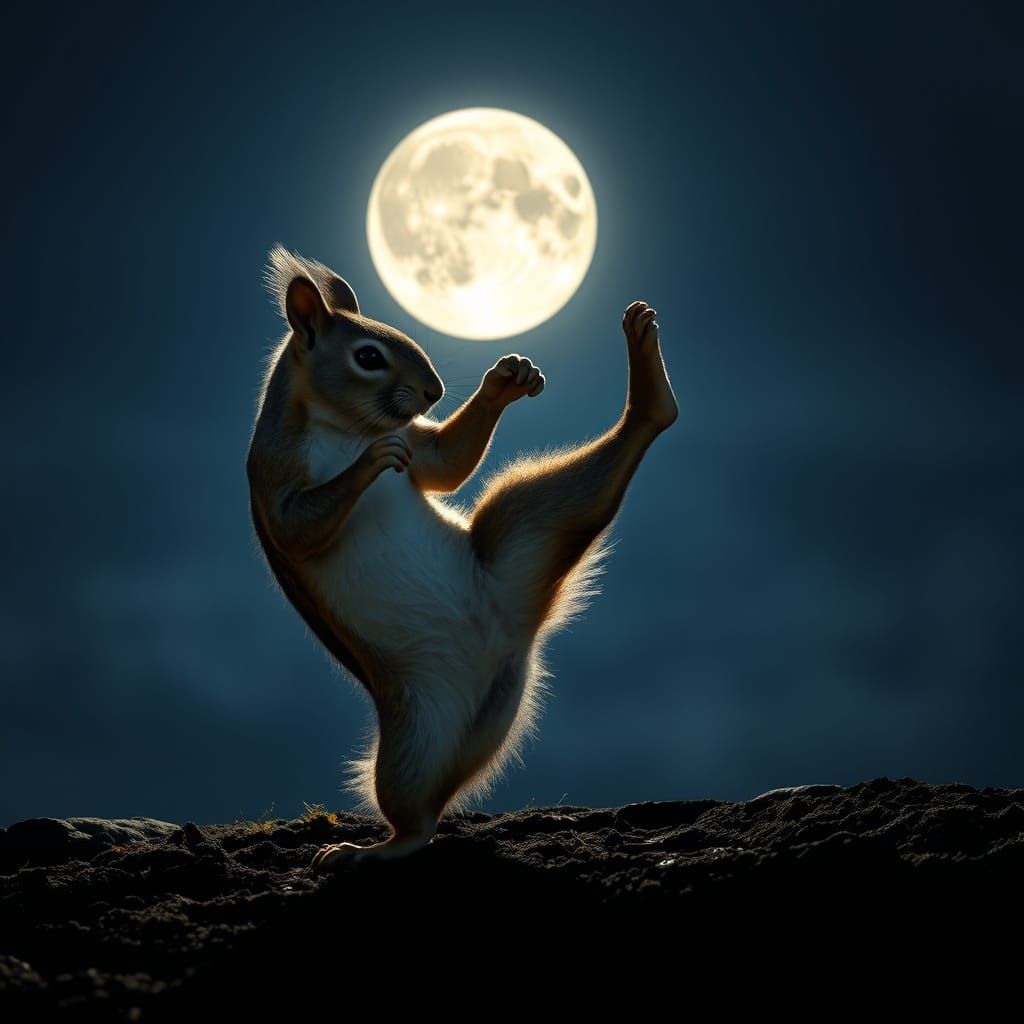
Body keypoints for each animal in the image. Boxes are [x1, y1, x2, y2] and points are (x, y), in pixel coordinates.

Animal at [246, 247, 678, 870]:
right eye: (368, 356)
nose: (433, 391)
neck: (342, 429)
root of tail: (509, 647)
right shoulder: (272, 481)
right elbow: (299, 529)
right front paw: (371, 461)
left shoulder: (420, 446)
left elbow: (448, 465)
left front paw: (508, 378)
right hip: (412, 748)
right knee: (416, 823)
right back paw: (365, 849)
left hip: (528, 525)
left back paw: (649, 381)